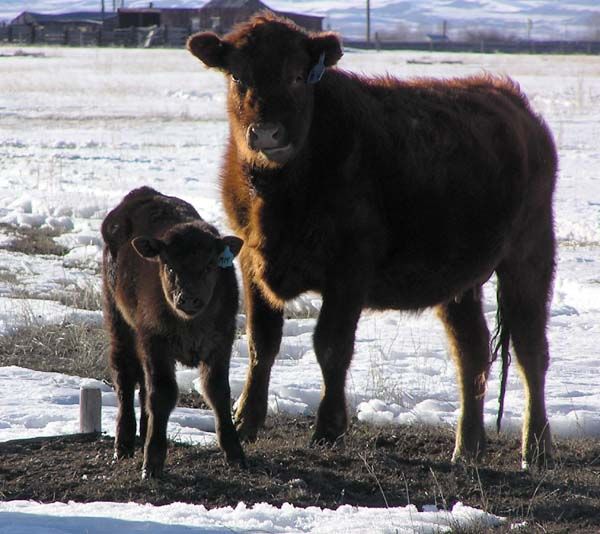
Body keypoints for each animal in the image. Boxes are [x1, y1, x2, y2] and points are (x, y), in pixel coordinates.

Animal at [102, 188, 245, 482]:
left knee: (142, 385)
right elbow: (163, 393)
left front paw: (235, 453)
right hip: (118, 320)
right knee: (124, 376)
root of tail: (140, 194)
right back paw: (123, 445)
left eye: (210, 266)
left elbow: (218, 391)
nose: (187, 298)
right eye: (169, 266)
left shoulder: (222, 341)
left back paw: (143, 432)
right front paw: (152, 462)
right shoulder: (154, 341)